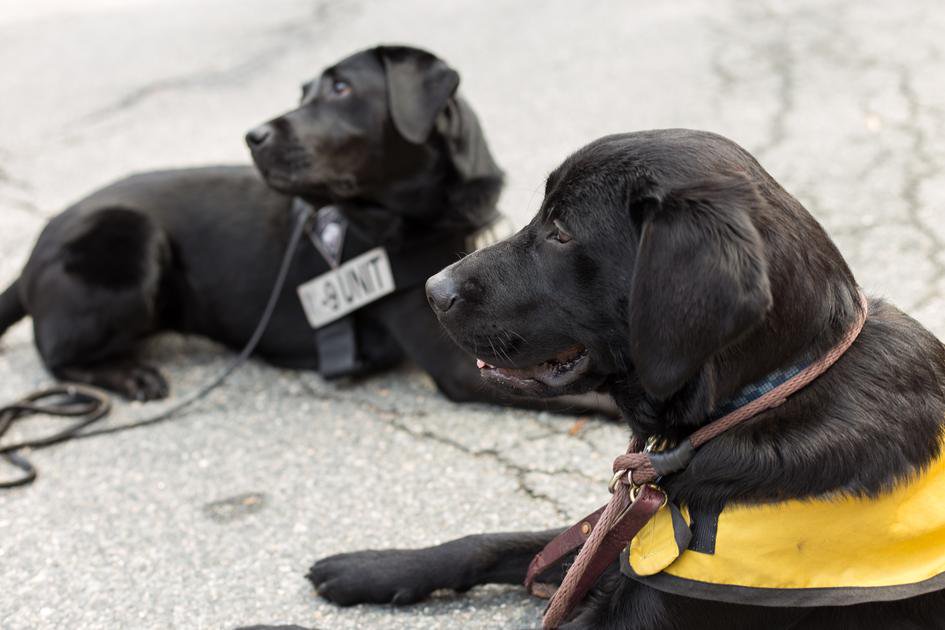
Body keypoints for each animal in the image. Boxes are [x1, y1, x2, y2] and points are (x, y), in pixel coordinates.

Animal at [0, 45, 544, 410]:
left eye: (341, 88)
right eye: (304, 92)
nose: (252, 136)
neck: (425, 214)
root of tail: (31, 252)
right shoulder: (460, 361)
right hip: (131, 236)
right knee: (54, 353)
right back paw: (129, 375)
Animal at [304, 131, 944, 628]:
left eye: (561, 231)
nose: (433, 289)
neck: (764, 397)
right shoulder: (617, 541)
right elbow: (488, 542)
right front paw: (372, 566)